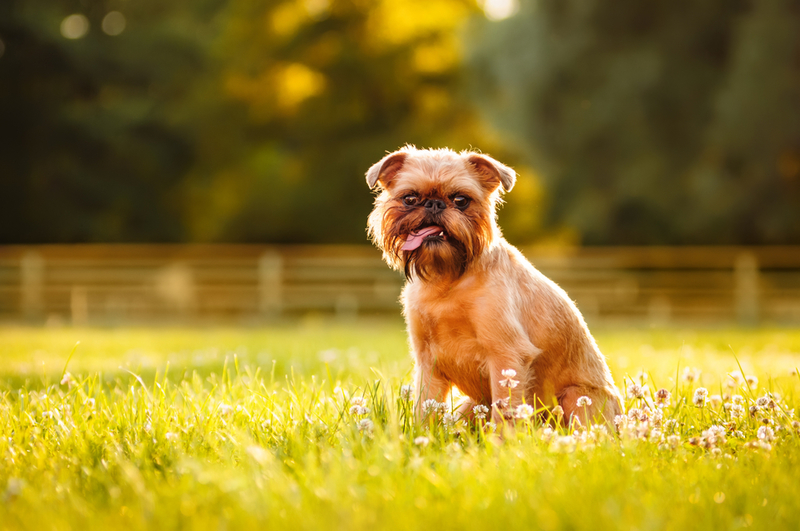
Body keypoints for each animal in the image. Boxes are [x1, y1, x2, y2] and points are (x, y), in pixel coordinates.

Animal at [368, 147, 624, 428]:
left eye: (461, 200)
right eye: (410, 198)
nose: (434, 204)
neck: (447, 279)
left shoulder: (506, 356)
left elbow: (505, 413)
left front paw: (503, 439)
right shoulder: (428, 363)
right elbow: (426, 408)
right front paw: (423, 435)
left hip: (576, 398)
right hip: (472, 405)